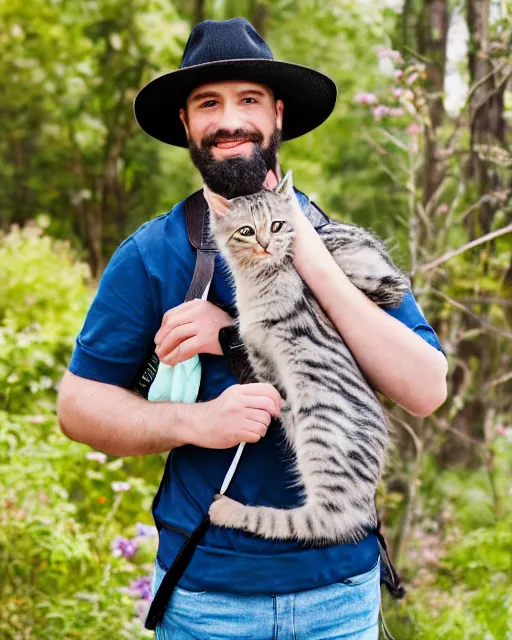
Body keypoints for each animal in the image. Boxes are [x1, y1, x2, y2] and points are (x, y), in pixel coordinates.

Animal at [202, 171, 410, 544]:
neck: (254, 283)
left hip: (321, 432)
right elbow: (267, 384)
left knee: (325, 521)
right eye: (246, 231)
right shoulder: (260, 357)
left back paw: (228, 509)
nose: (265, 244)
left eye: (277, 225)